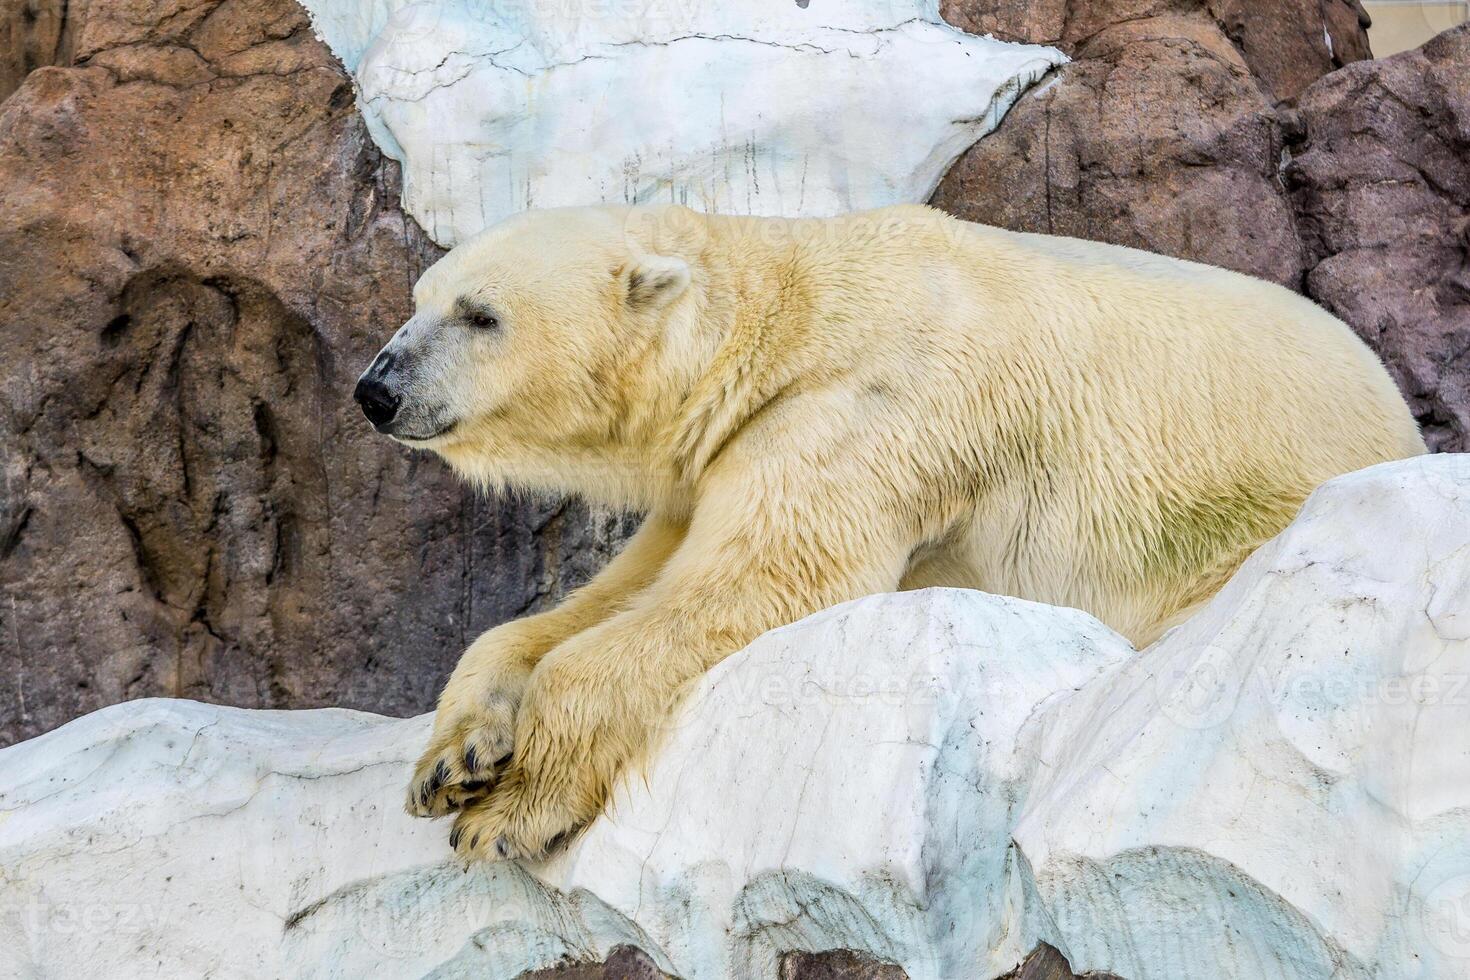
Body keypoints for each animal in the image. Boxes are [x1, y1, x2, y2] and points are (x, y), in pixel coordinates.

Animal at [352, 205, 1422, 858]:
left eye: (479, 314)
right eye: (418, 302)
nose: (375, 389)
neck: (791, 320)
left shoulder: (858, 414)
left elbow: (759, 584)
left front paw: (510, 811)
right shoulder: (715, 461)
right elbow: (620, 589)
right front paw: (454, 758)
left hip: (1232, 525)